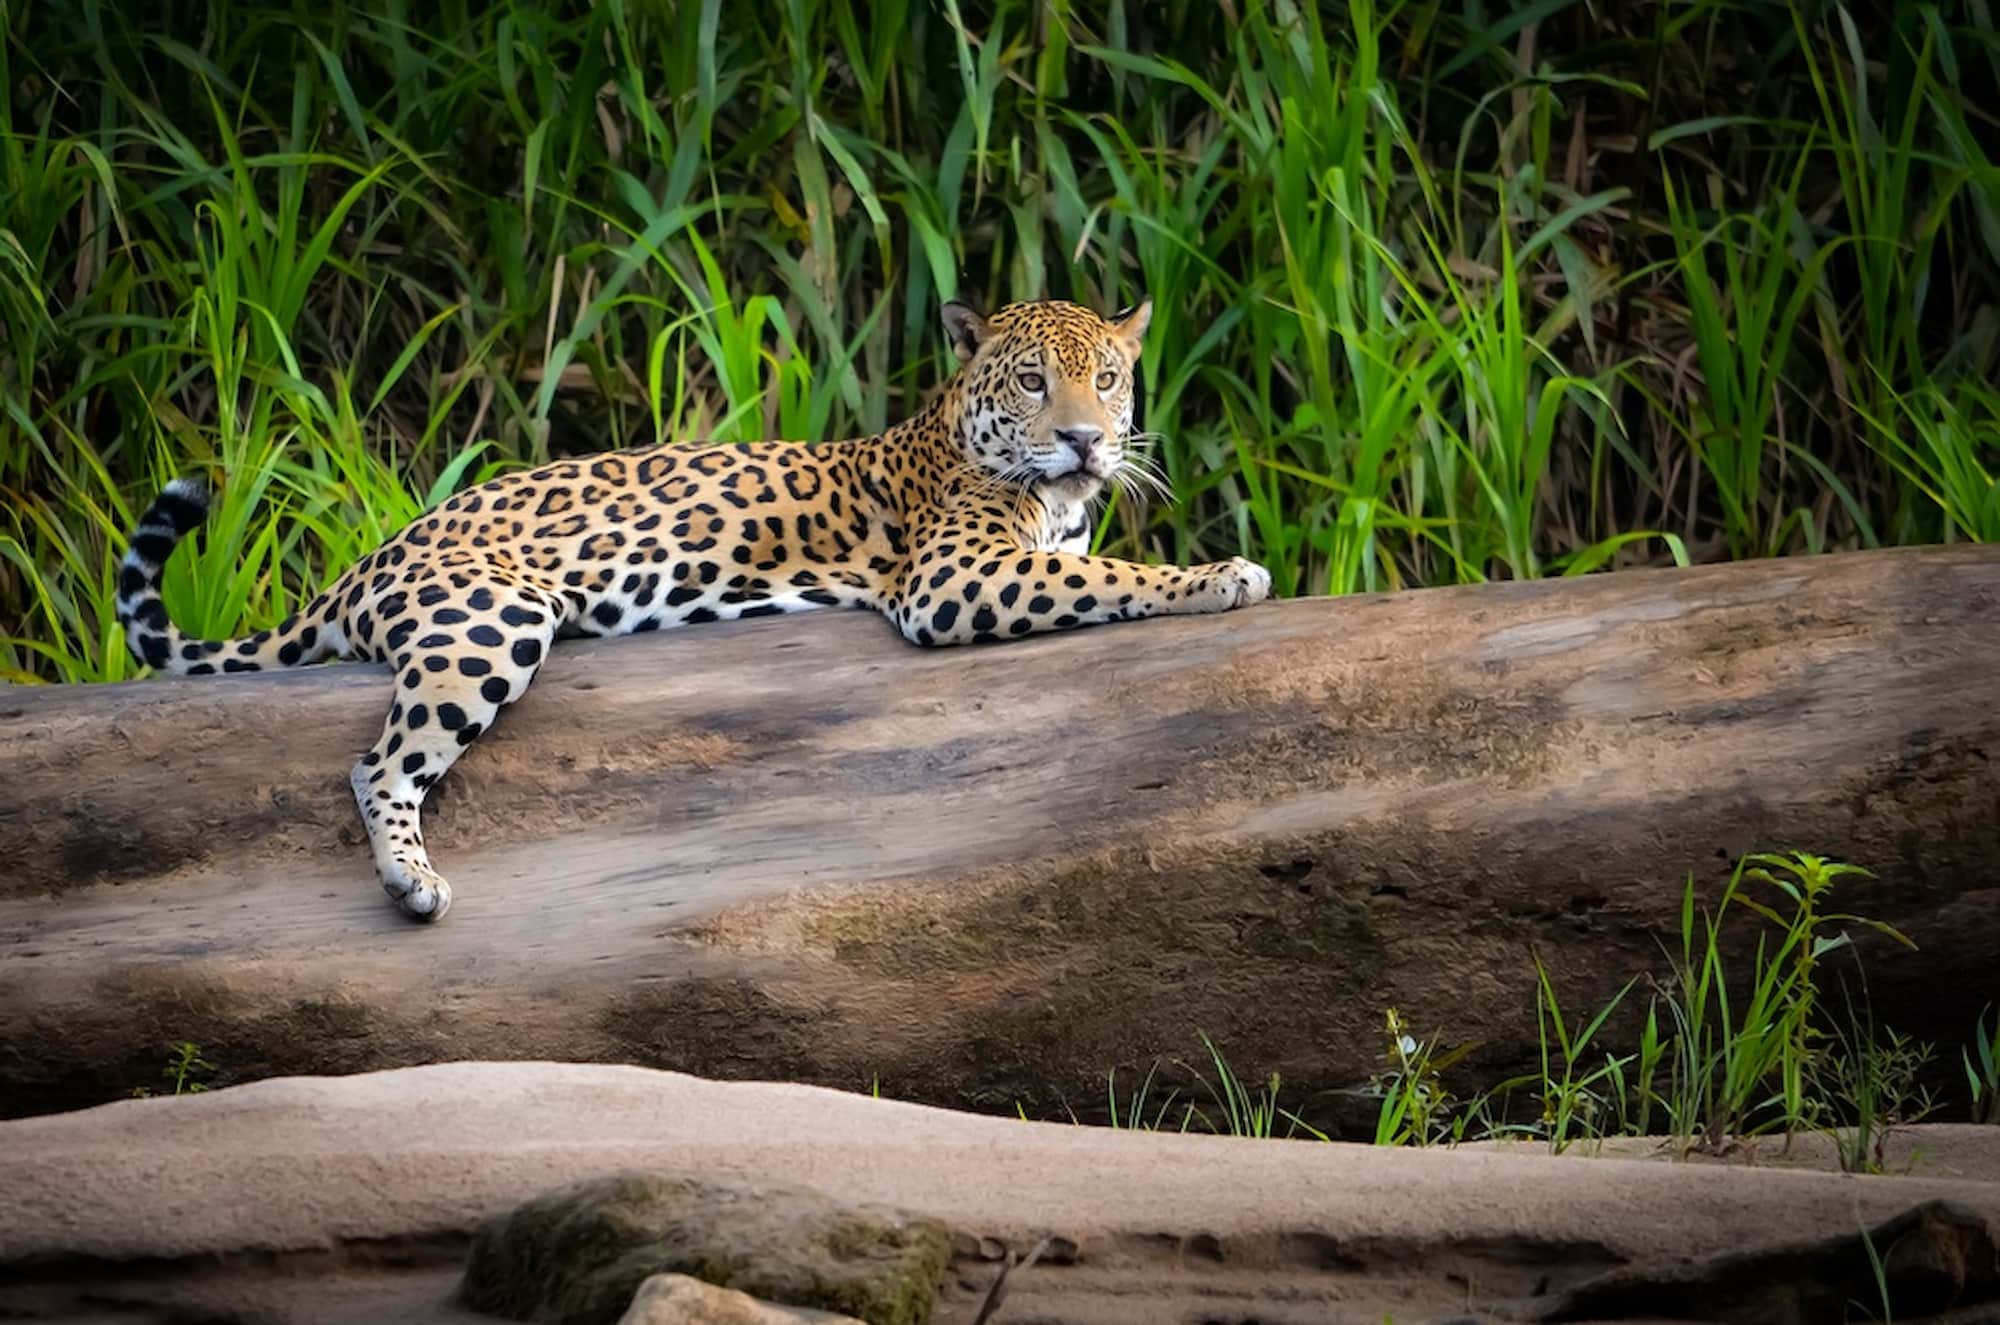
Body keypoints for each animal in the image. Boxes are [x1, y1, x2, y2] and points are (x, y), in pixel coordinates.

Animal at [116, 297, 1272, 921]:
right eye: (1033, 382)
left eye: (1108, 379)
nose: (1085, 439)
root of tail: (368, 559)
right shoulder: (954, 578)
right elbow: (1110, 577)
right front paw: (1220, 574)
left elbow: (1094, 562)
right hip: (489, 615)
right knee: (378, 762)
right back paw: (413, 882)